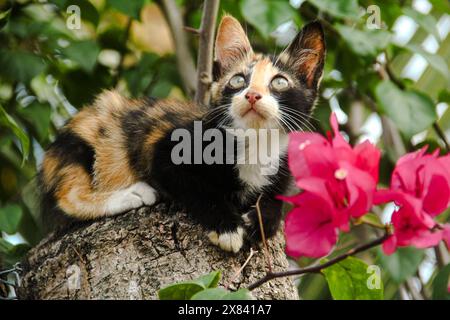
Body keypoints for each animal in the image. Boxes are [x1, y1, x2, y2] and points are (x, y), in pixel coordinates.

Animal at [38, 16, 326, 252]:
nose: (252, 95)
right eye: (238, 80)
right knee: (67, 197)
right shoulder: (164, 148)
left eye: (279, 82)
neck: (254, 143)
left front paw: (263, 221)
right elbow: (193, 186)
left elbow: (275, 200)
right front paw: (227, 227)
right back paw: (131, 194)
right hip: (85, 135)